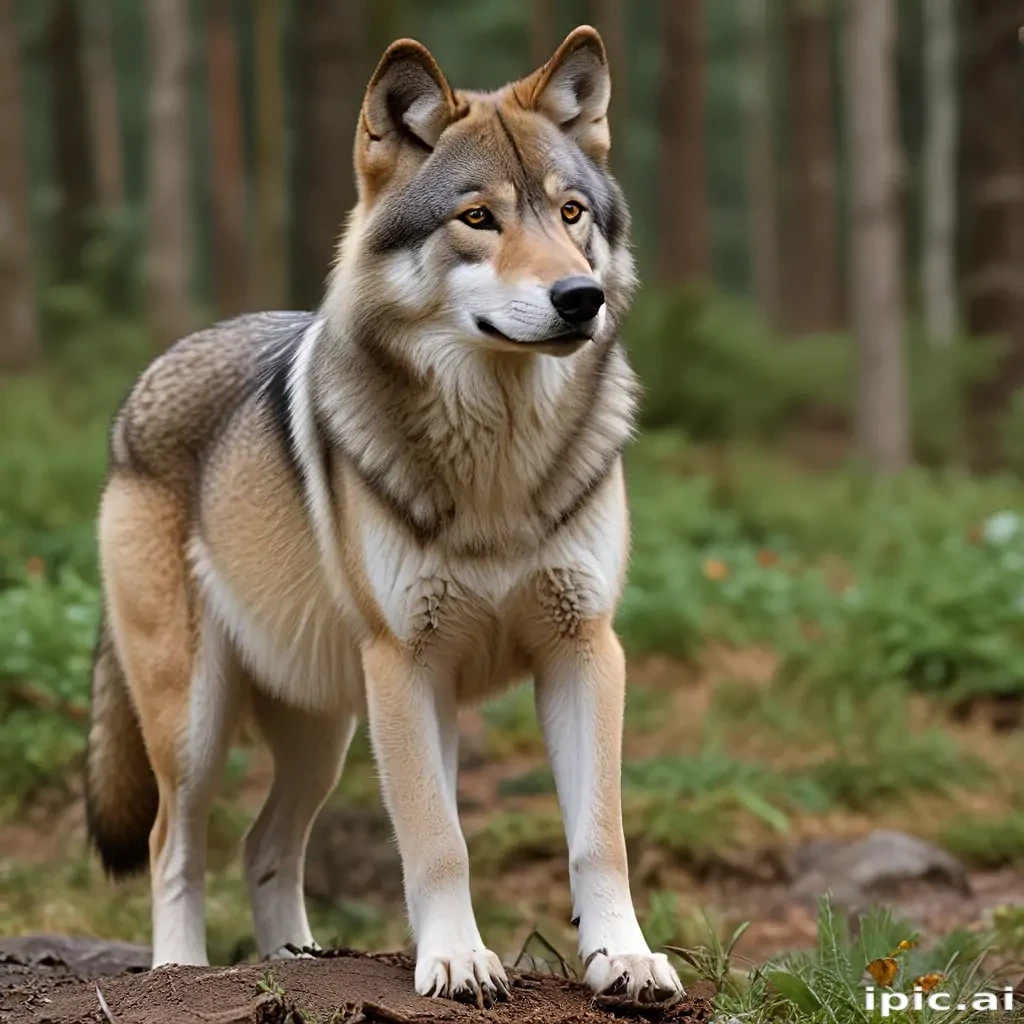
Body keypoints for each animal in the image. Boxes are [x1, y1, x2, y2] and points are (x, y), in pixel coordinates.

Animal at [85, 26, 682, 1005]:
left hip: (325, 727)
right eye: (477, 218)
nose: (580, 299)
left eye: (569, 213)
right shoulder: (408, 664)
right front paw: (457, 960)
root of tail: (148, 379)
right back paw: (180, 971)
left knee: (265, 844)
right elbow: (438, 840)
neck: (498, 466)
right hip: (198, 719)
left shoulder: (584, 647)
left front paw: (622, 959)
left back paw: (296, 962)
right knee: (177, 841)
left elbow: (601, 835)